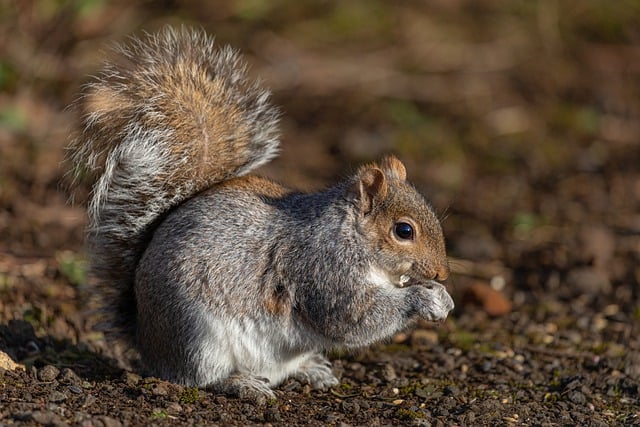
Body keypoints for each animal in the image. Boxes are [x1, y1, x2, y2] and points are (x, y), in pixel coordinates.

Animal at [69, 27, 456, 402]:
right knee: (197, 378)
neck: (349, 236)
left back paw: (311, 370)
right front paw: (422, 298)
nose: (442, 273)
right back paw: (242, 384)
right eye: (403, 231)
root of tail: (146, 339)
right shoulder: (323, 270)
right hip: (196, 336)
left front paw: (441, 295)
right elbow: (352, 318)